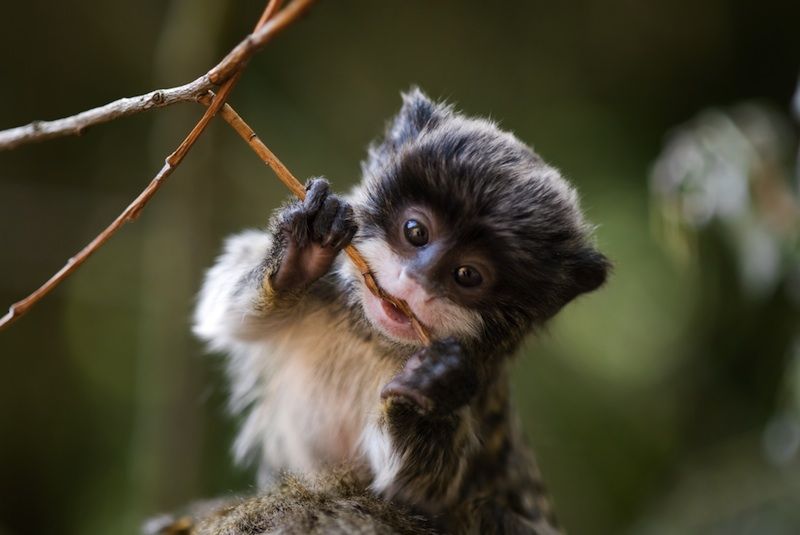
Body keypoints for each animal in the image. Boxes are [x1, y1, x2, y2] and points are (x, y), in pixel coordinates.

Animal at [194, 90, 608, 532]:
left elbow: (418, 493)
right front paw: (299, 254)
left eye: (467, 274)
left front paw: (434, 390)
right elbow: (224, 314)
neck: (372, 339)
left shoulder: (479, 390)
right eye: (416, 232)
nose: (414, 280)